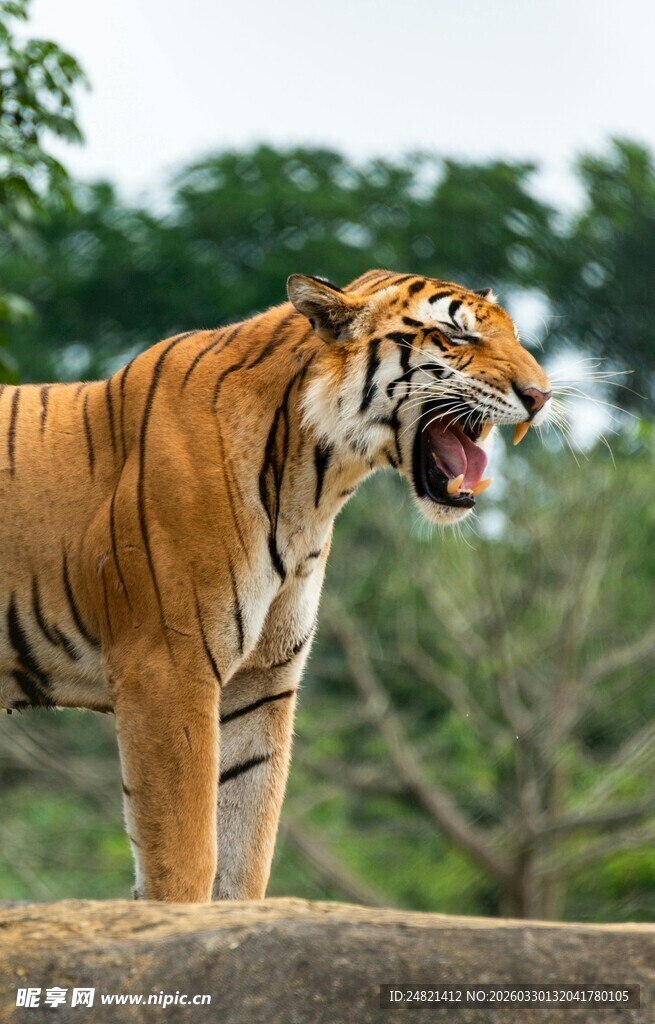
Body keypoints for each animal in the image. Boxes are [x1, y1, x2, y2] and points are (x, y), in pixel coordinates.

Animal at [0, 269, 552, 902]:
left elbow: (244, 853)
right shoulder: (166, 667)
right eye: (455, 336)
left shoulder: (262, 680)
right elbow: (184, 855)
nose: (542, 396)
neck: (314, 483)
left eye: (515, 335)